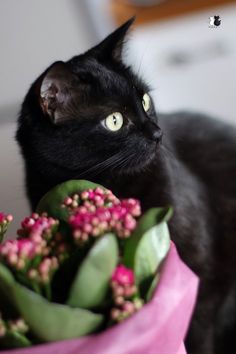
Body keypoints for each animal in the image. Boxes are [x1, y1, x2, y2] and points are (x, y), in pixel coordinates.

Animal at [16, 18, 236, 354]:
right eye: (115, 120)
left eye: (145, 100)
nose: (157, 133)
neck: (114, 185)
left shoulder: (205, 280)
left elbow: (199, 334)